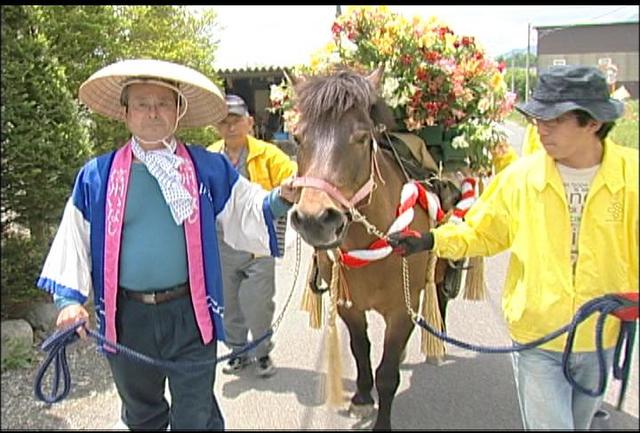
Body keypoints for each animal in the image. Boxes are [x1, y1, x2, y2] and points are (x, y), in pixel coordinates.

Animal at [288, 66, 460, 430]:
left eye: (362, 137)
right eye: (297, 138)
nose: (314, 219)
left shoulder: (402, 311)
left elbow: (388, 373)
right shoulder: (348, 305)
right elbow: (360, 349)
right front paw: (363, 397)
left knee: (440, 294)